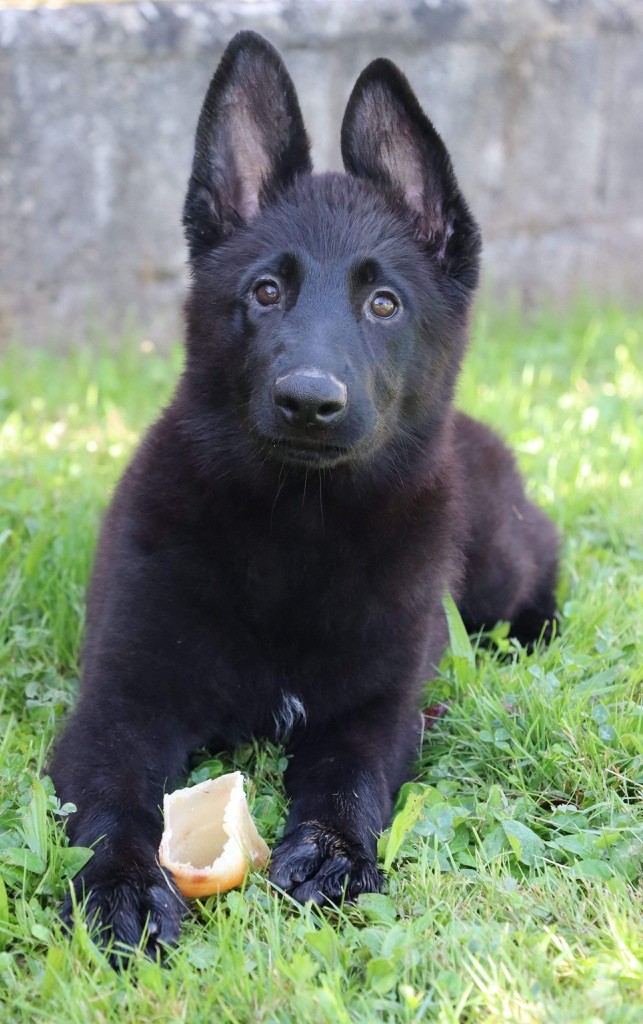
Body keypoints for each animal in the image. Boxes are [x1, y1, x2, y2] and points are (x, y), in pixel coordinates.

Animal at [51, 34, 556, 958]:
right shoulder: (120, 703)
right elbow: (111, 804)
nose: (309, 402)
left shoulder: (374, 713)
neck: (296, 530)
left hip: (501, 562)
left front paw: (331, 856)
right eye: (265, 291)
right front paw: (122, 887)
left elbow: (347, 784)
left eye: (383, 302)